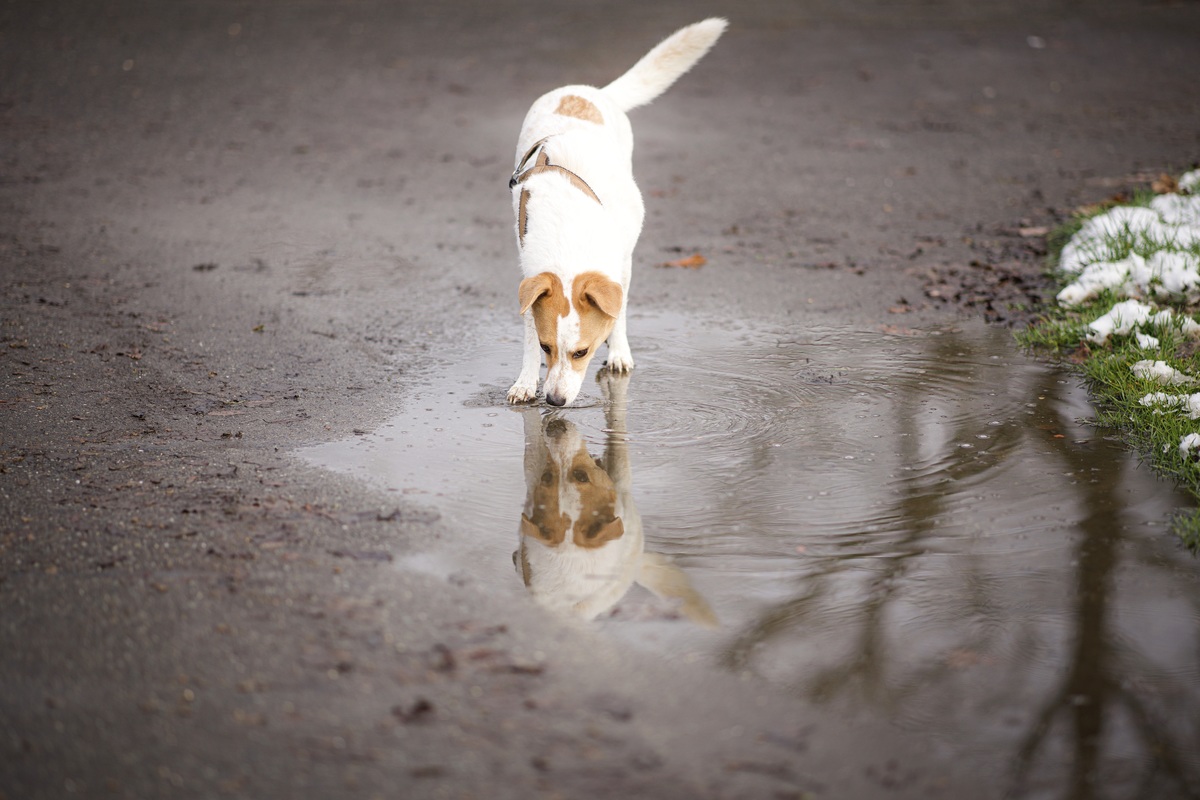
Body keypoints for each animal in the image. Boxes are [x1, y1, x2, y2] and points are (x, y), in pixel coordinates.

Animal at [504, 17, 724, 407]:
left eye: (581, 352)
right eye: (547, 347)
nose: (554, 401)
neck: (570, 235)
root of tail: (589, 90)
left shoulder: (622, 262)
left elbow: (618, 312)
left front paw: (619, 351)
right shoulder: (530, 276)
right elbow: (528, 332)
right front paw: (527, 380)